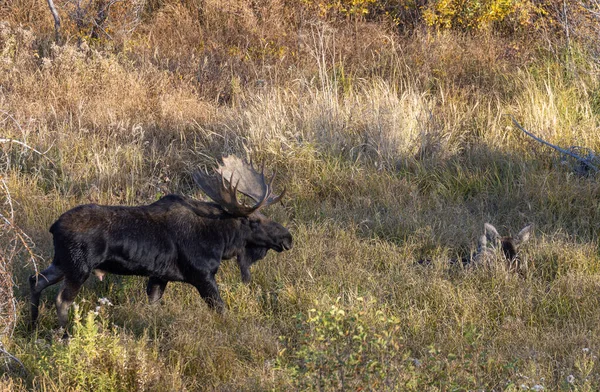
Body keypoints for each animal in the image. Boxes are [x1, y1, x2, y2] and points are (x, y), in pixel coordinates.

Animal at [30, 156, 292, 330]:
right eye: (253, 221)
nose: (287, 238)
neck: (221, 240)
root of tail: (54, 227)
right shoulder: (202, 275)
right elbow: (221, 309)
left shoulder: (159, 276)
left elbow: (153, 307)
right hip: (78, 267)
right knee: (61, 299)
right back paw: (64, 335)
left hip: (61, 263)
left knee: (35, 280)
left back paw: (32, 326)